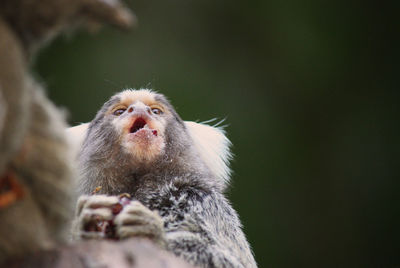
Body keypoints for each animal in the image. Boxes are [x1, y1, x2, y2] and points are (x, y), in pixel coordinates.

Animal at [72, 89, 258, 268]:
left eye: (155, 111)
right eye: (120, 111)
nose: (140, 109)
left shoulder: (205, 203)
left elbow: (230, 262)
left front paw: (153, 233)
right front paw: (83, 225)